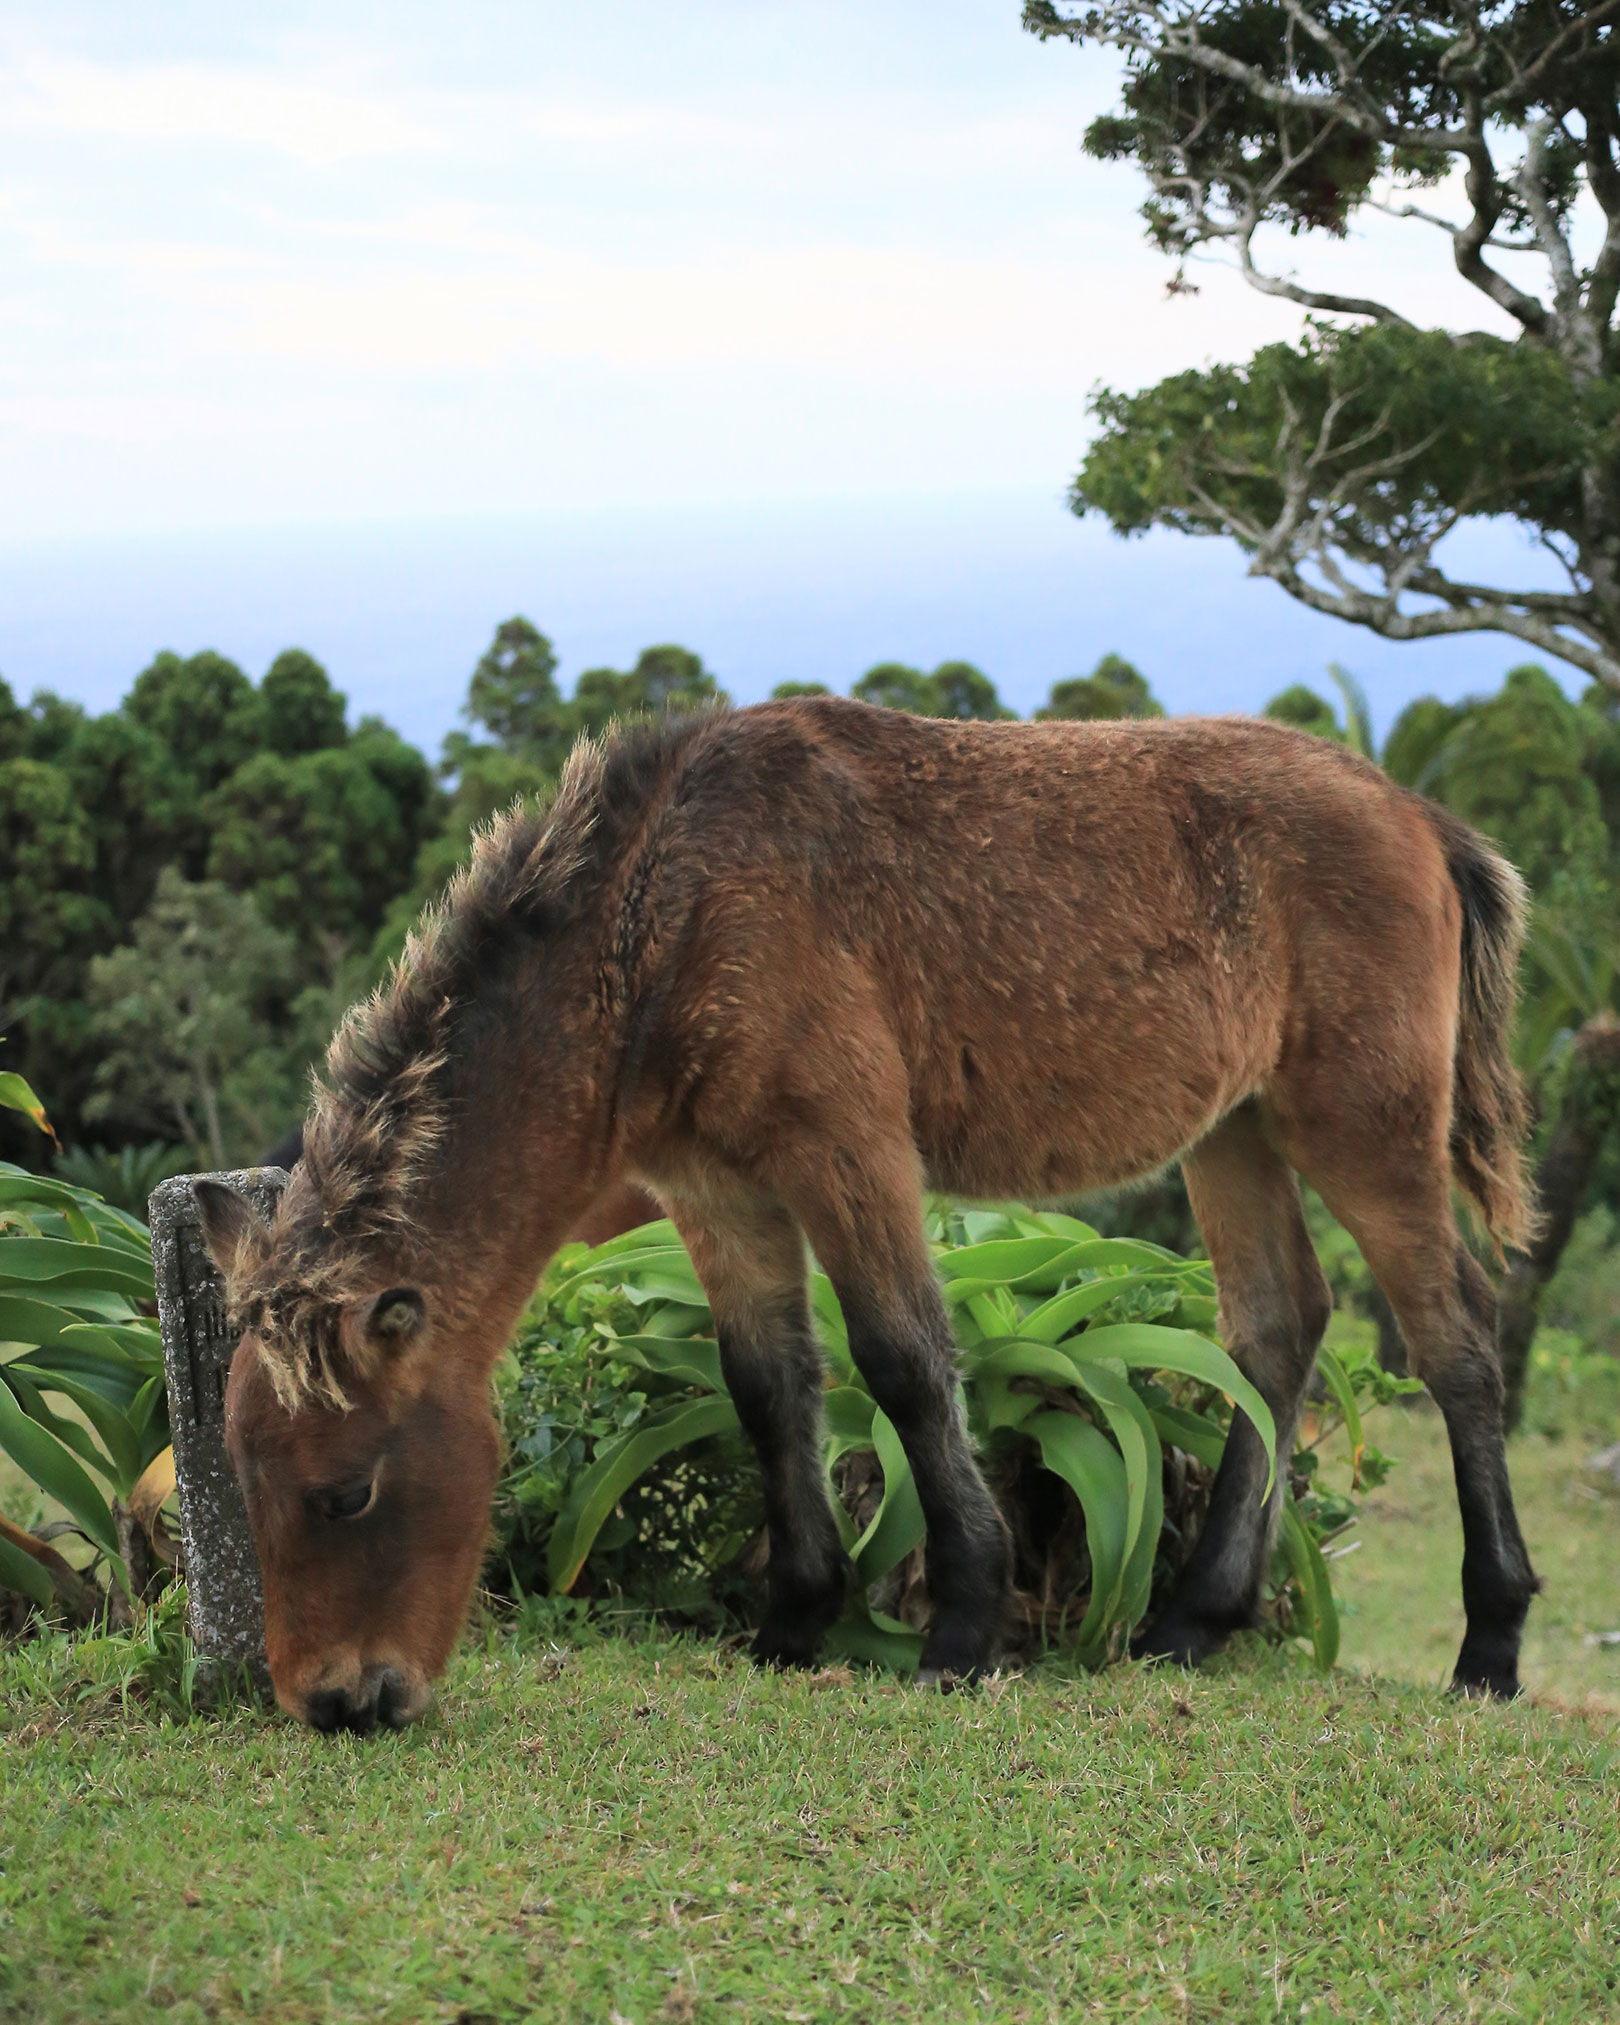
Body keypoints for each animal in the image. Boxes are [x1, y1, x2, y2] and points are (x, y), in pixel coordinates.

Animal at [196, 696, 1539, 1725]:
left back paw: (1490, 1644)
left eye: (347, 1493)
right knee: (1276, 1326)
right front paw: (795, 1620)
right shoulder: (718, 1194)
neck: (666, 919)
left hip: (1363, 1127)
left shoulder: (848, 1150)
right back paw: (1193, 1623)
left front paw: (963, 1628)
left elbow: (902, 1362)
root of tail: (1417, 816)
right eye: (243, 1482)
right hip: (1238, 1130)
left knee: (1457, 1340)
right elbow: (769, 1385)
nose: (337, 1701)